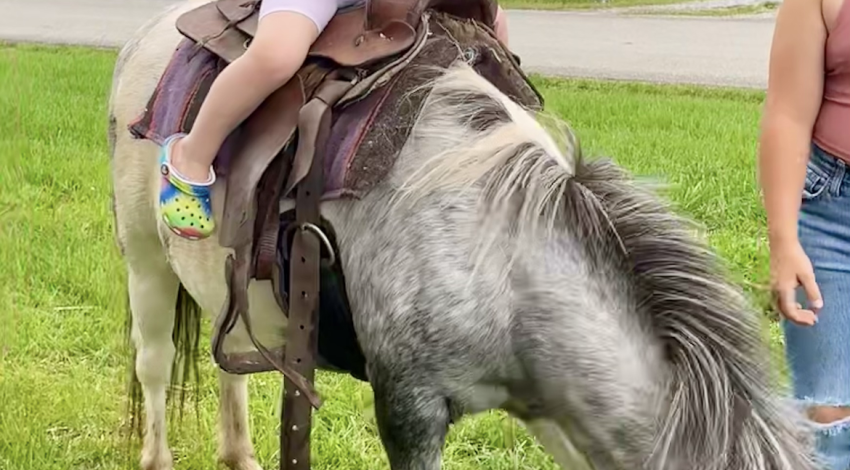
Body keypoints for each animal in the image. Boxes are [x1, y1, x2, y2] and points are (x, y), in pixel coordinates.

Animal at [106, 0, 816, 470]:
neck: (503, 262)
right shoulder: (409, 409)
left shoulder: (558, 417)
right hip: (145, 262)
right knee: (155, 364)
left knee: (230, 362)